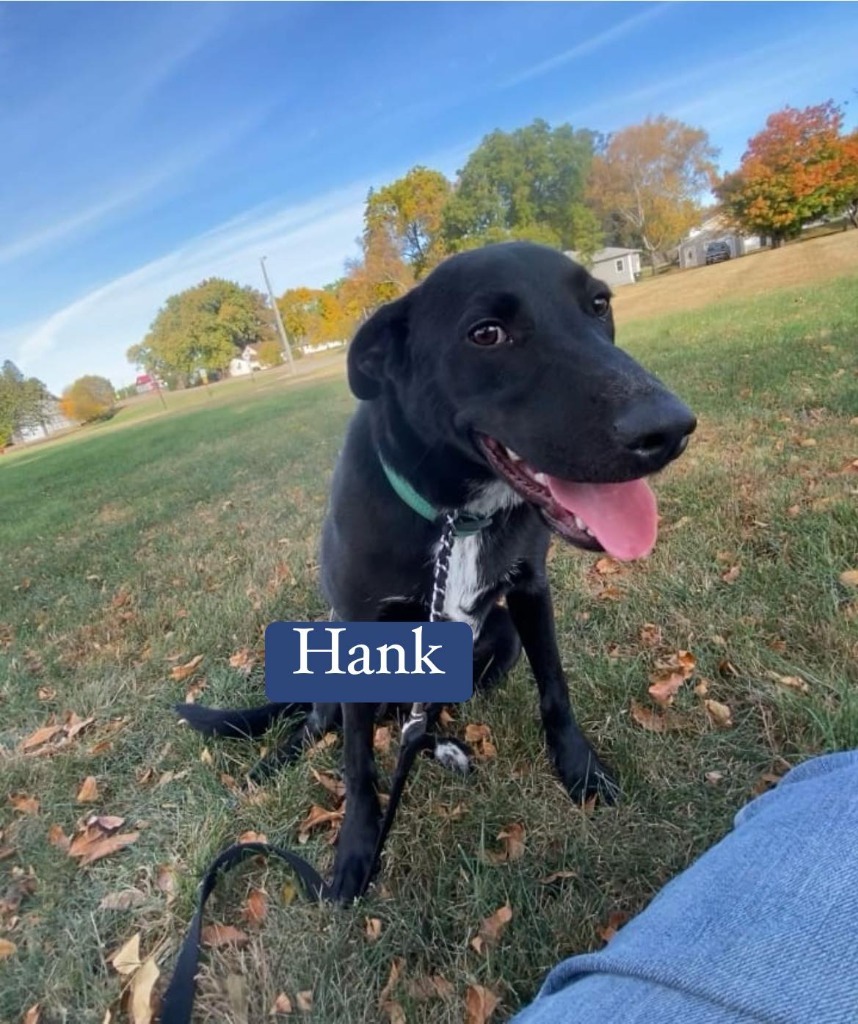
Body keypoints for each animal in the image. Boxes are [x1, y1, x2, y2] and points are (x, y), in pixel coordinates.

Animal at [180, 241, 692, 905]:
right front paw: (356, 849)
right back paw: (277, 760)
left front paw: (580, 770)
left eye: (599, 304)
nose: (672, 429)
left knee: (425, 717)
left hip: (496, 641)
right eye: (487, 333)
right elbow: (357, 762)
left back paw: (440, 744)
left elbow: (555, 688)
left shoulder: (530, 592)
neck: (459, 514)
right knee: (316, 723)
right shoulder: (357, 629)